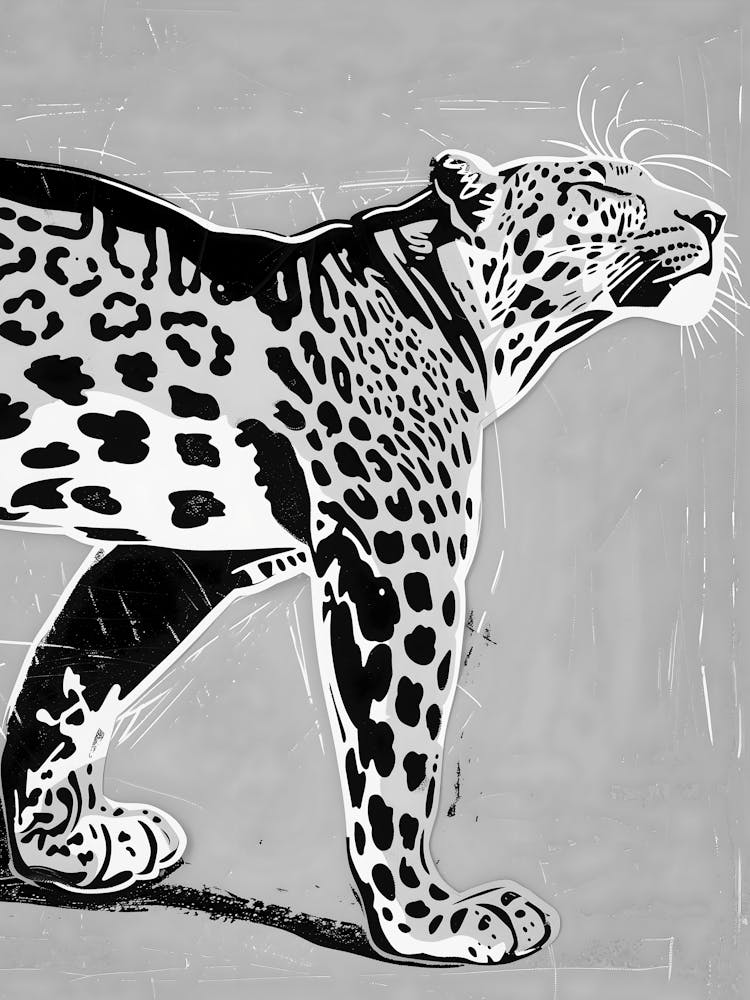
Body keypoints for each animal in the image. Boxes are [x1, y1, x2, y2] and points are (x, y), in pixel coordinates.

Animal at [0, 148, 727, 966]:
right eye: (597, 187)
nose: (713, 217)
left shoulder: (186, 552)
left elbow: (71, 675)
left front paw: (59, 843)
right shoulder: (398, 557)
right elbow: (397, 750)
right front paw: (427, 918)